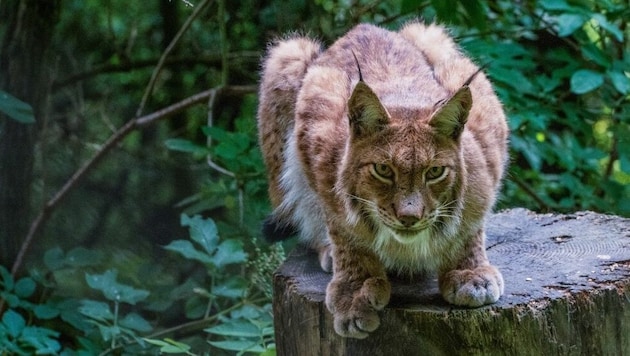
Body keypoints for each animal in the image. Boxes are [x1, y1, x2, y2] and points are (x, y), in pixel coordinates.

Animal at [256, 22, 508, 340]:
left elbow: (472, 220)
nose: (409, 218)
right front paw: (354, 290)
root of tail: (364, 27)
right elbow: (342, 227)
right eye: (383, 170)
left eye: (434, 172)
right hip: (286, 58)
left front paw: (469, 272)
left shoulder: (488, 142)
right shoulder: (316, 123)